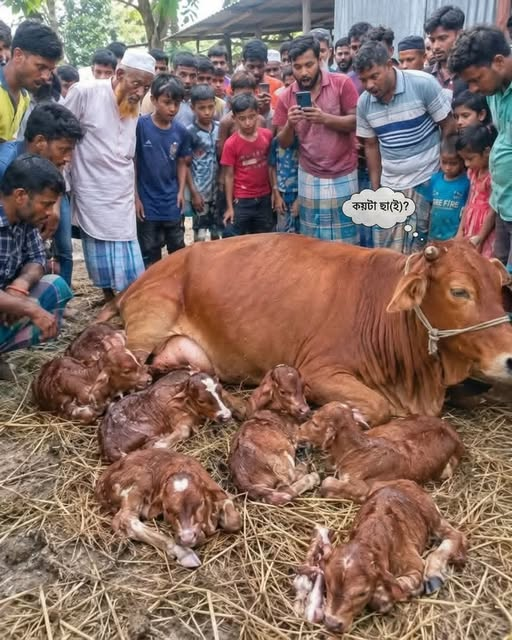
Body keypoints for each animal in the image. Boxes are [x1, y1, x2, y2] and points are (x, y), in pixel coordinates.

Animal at [97, 236, 512, 425]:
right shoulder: (318, 370)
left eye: (499, 286)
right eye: (460, 291)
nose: (509, 359)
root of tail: (139, 279)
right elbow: (376, 408)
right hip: (148, 326)